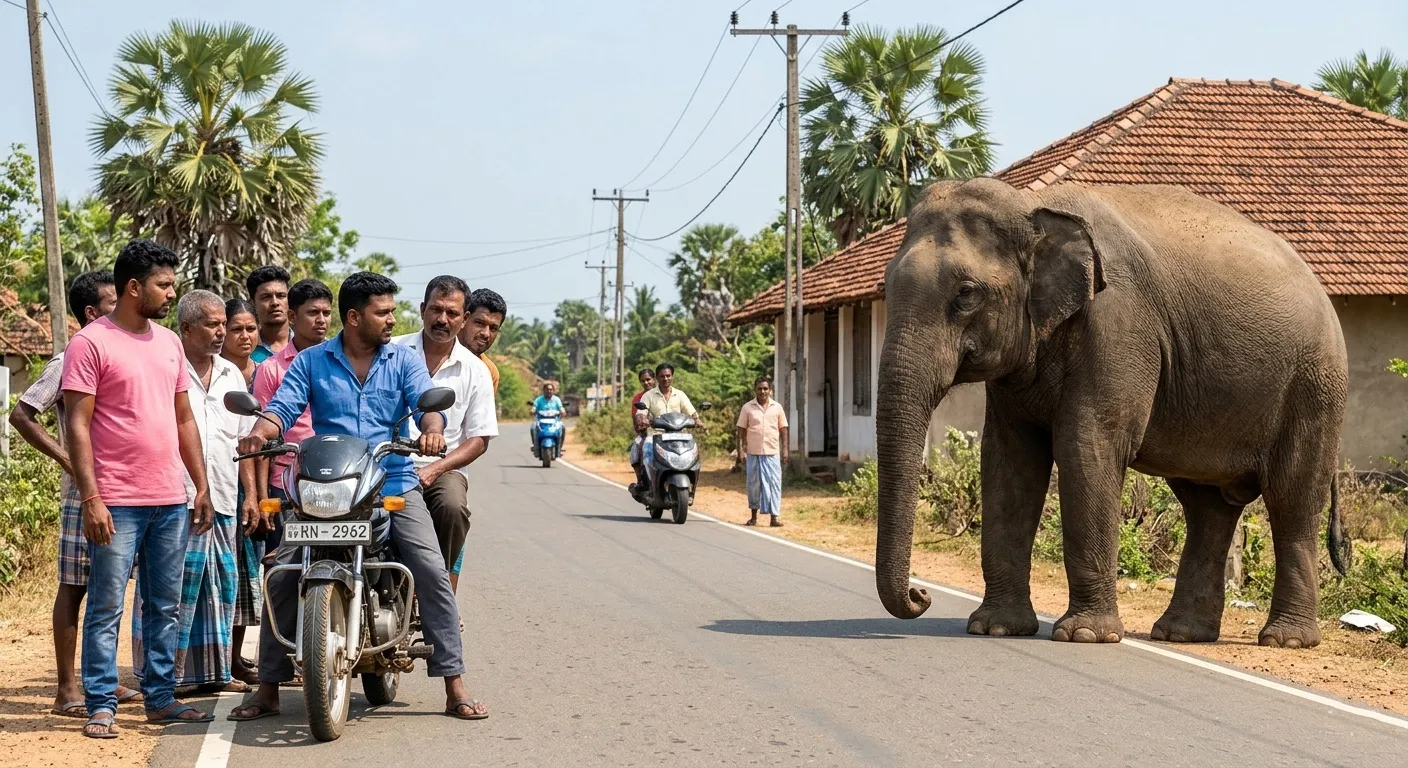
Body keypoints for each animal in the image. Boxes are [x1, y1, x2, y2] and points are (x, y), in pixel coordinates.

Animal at [874, 177, 1349, 649]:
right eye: (886, 286)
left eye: (966, 293)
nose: (921, 594)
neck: (1034, 205)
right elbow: (1009, 460)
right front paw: (995, 628)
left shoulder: (1118, 325)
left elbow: (1087, 446)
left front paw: (1085, 636)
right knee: (1207, 508)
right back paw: (1180, 634)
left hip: (1314, 389)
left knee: (1291, 500)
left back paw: (1286, 640)